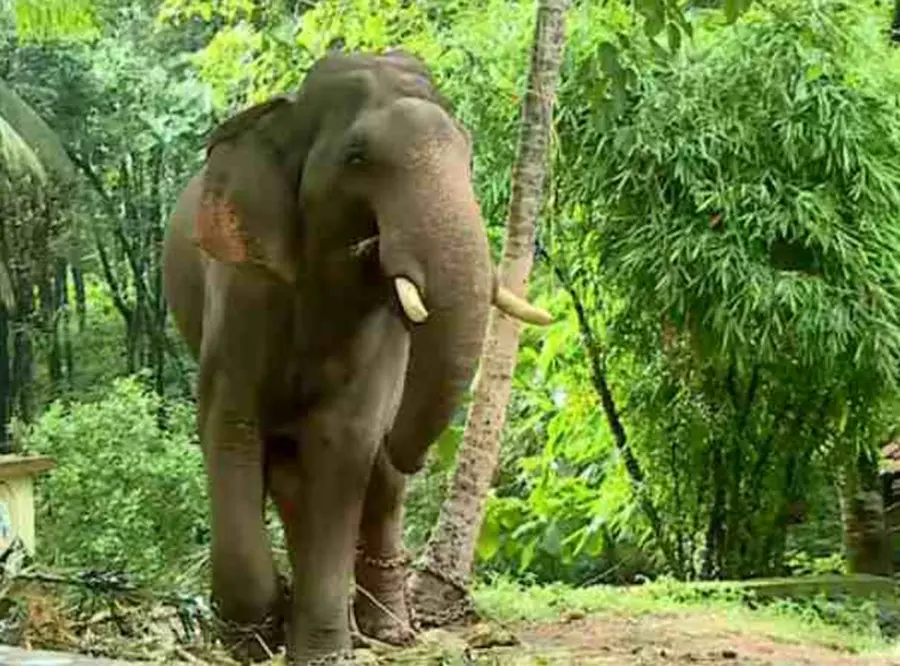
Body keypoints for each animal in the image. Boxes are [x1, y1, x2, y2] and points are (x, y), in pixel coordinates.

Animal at [161, 49, 553, 665]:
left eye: (468, 156)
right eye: (357, 158)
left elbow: (342, 441)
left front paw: (317, 650)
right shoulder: (242, 290)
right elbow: (231, 429)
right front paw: (255, 636)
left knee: (368, 482)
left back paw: (387, 631)